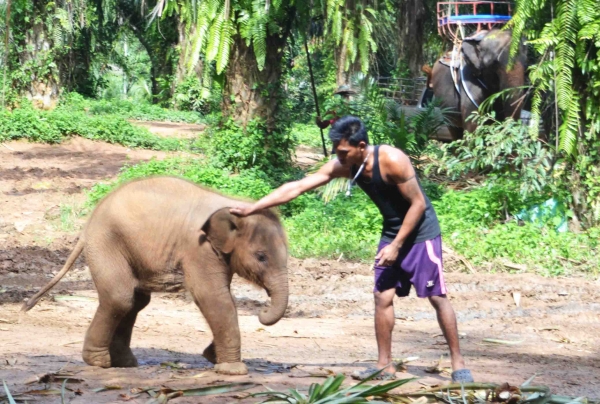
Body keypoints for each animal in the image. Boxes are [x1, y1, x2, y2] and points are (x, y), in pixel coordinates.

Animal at [21, 177, 288, 376]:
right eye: (261, 257)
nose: (262, 310)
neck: (234, 206)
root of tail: (86, 228)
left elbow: (220, 297)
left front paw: (212, 357)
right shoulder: (198, 248)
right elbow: (212, 296)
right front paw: (232, 370)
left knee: (135, 301)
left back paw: (124, 363)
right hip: (106, 243)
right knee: (120, 297)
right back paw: (100, 363)